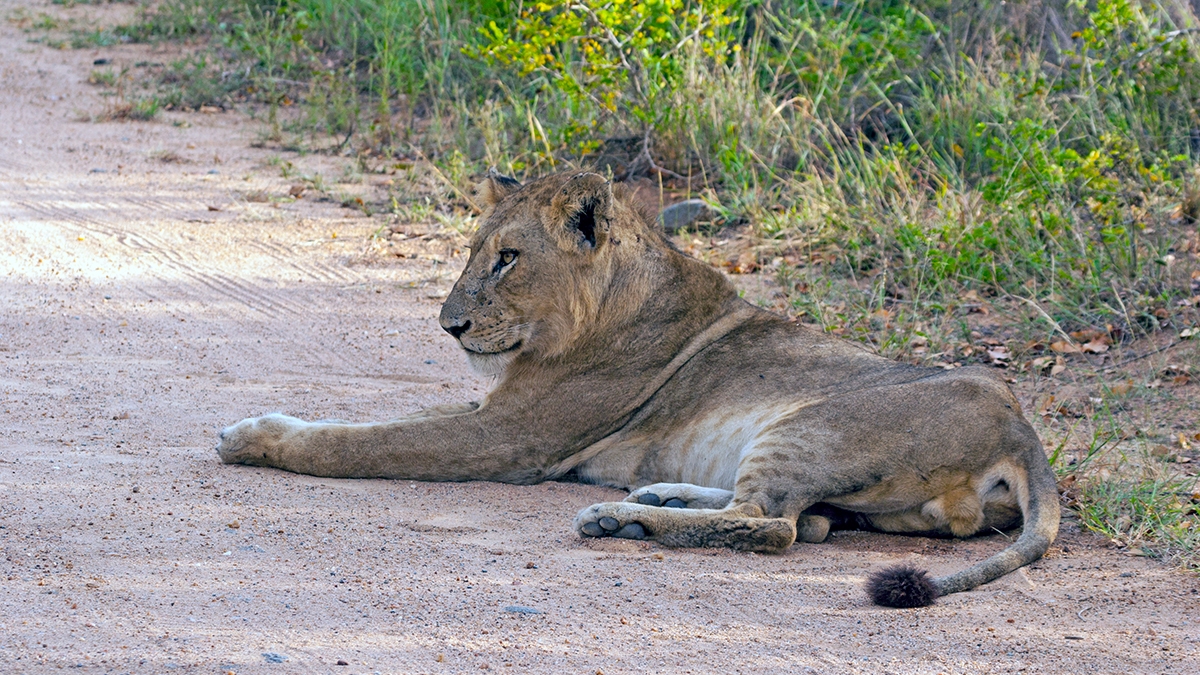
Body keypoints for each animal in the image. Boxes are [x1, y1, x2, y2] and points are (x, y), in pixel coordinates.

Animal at [216, 170, 1060, 608]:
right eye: (472, 250)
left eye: (508, 257)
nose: (449, 326)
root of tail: (1021, 429)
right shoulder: (497, 411)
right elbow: (377, 422)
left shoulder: (509, 438)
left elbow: (359, 439)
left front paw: (252, 436)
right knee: (807, 520)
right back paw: (649, 500)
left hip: (809, 423)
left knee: (773, 526)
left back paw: (618, 520)